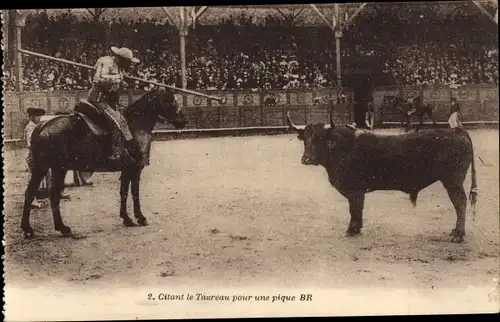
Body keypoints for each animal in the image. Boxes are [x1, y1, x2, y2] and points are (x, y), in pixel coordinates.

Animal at [20, 88, 187, 239]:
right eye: (171, 101)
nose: (183, 121)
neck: (135, 126)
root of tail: (41, 126)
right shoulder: (134, 169)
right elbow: (134, 192)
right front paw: (139, 217)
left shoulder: (127, 170)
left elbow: (124, 192)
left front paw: (126, 218)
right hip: (53, 168)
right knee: (43, 194)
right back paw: (46, 228)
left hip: (49, 168)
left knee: (41, 194)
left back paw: (45, 228)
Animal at [286, 112, 476, 243]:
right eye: (305, 139)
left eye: (319, 138)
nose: (306, 159)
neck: (342, 147)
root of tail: (457, 131)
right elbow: (357, 209)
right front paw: (356, 228)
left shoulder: (356, 190)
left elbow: (355, 209)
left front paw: (352, 229)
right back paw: (455, 232)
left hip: (453, 181)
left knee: (460, 203)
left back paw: (458, 235)